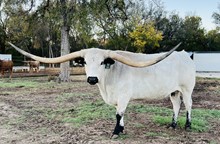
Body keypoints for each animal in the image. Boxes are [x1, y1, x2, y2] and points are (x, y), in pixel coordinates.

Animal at [8, 42, 196, 138]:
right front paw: (121, 129)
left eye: (101, 62)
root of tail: (185, 54)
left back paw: (187, 126)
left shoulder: (124, 96)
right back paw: (172, 125)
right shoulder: (117, 98)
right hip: (173, 91)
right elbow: (120, 114)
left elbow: (119, 114)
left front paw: (115, 132)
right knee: (176, 105)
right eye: (84, 62)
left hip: (187, 89)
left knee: (188, 105)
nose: (92, 79)